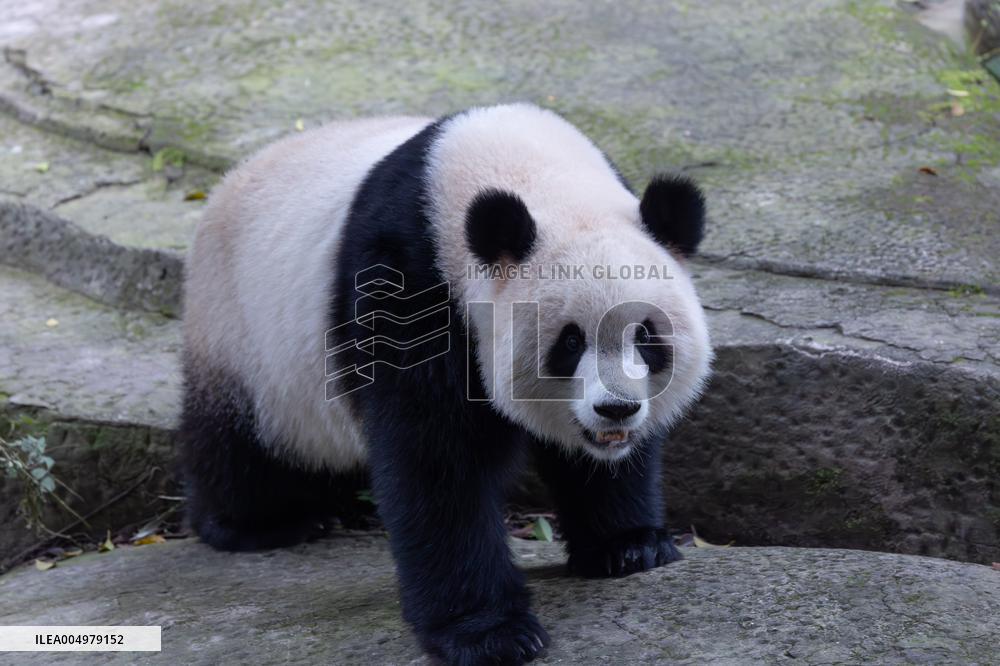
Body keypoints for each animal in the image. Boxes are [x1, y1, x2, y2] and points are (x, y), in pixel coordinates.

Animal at [180, 103, 712, 665]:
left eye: (645, 335)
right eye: (570, 342)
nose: (616, 409)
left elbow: (603, 466)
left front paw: (629, 545)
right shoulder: (405, 280)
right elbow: (436, 459)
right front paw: (490, 634)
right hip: (242, 337)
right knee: (241, 447)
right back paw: (261, 522)